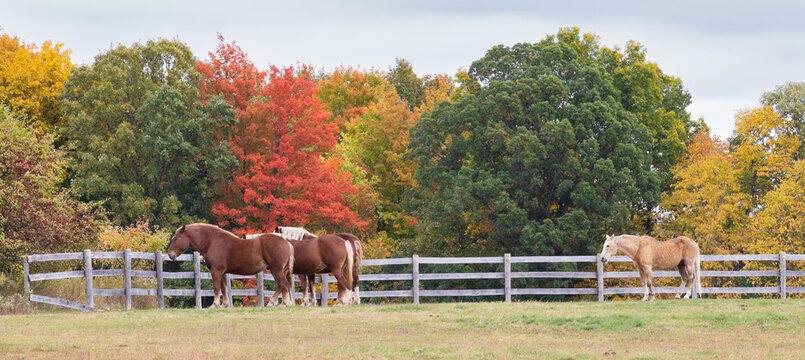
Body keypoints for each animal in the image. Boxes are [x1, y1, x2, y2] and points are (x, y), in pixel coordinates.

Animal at [166, 224, 296, 308]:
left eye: (176, 238)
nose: (170, 255)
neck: (212, 241)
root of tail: (286, 241)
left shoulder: (216, 271)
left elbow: (216, 288)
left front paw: (215, 305)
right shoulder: (222, 273)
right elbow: (223, 289)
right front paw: (225, 304)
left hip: (276, 270)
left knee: (284, 285)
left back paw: (284, 303)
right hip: (277, 270)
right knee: (282, 286)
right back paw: (274, 302)